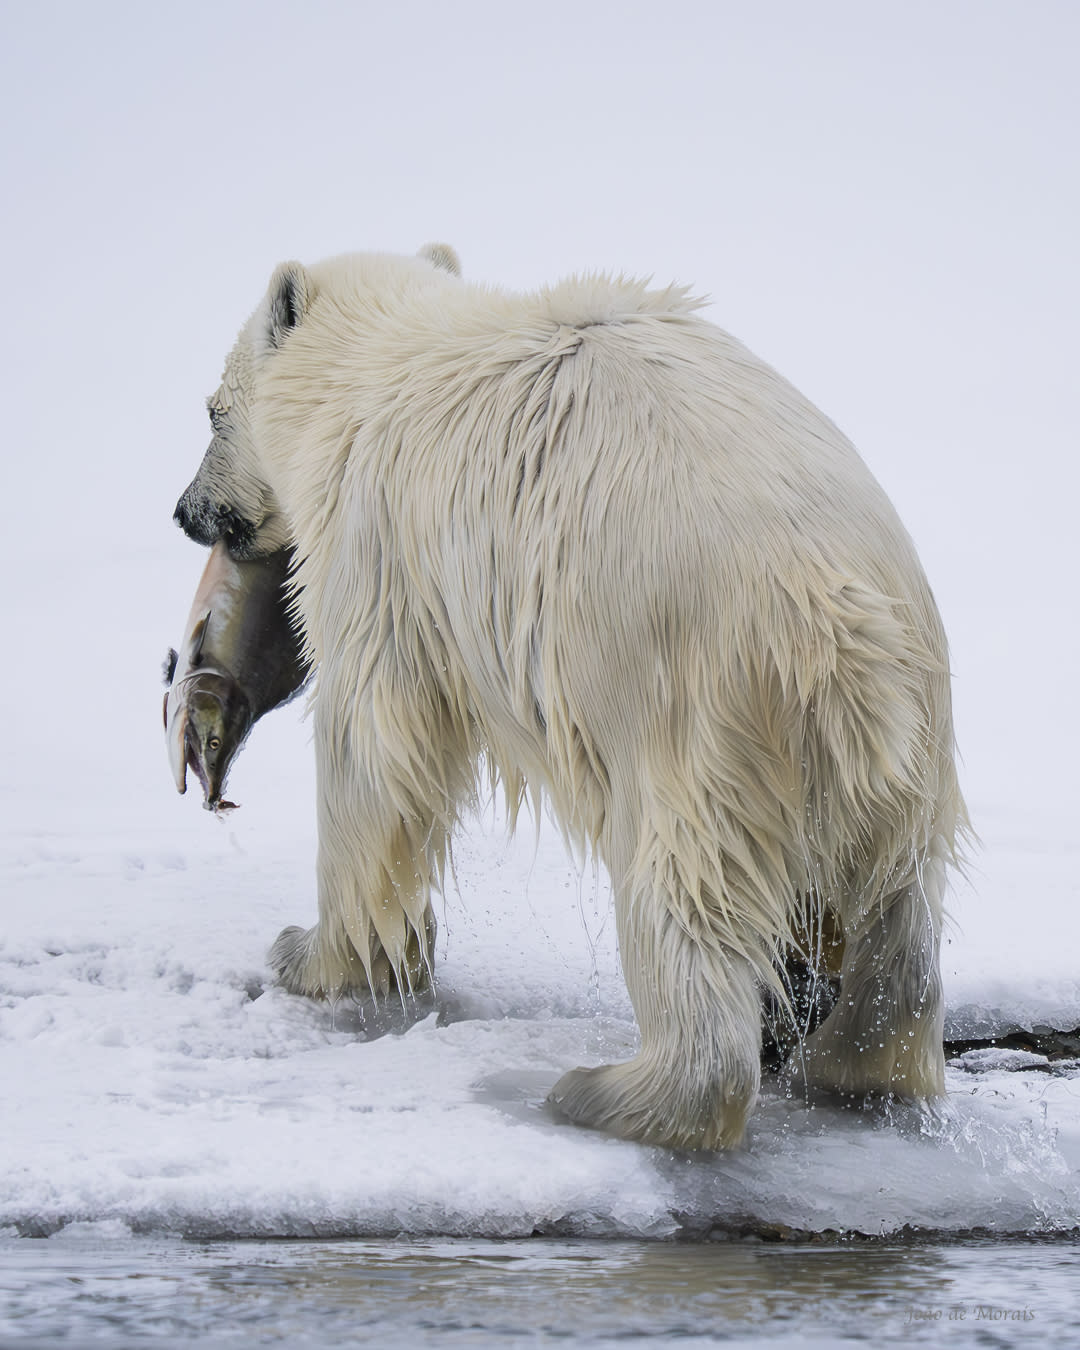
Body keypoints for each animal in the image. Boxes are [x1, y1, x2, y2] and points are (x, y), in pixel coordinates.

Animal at [172, 245, 966, 1150]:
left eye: (212, 412)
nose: (187, 511)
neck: (387, 367)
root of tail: (845, 638)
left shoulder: (384, 552)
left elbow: (376, 749)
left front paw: (310, 953)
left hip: (696, 713)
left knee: (680, 897)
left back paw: (606, 1091)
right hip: (915, 736)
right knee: (901, 919)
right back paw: (849, 1063)